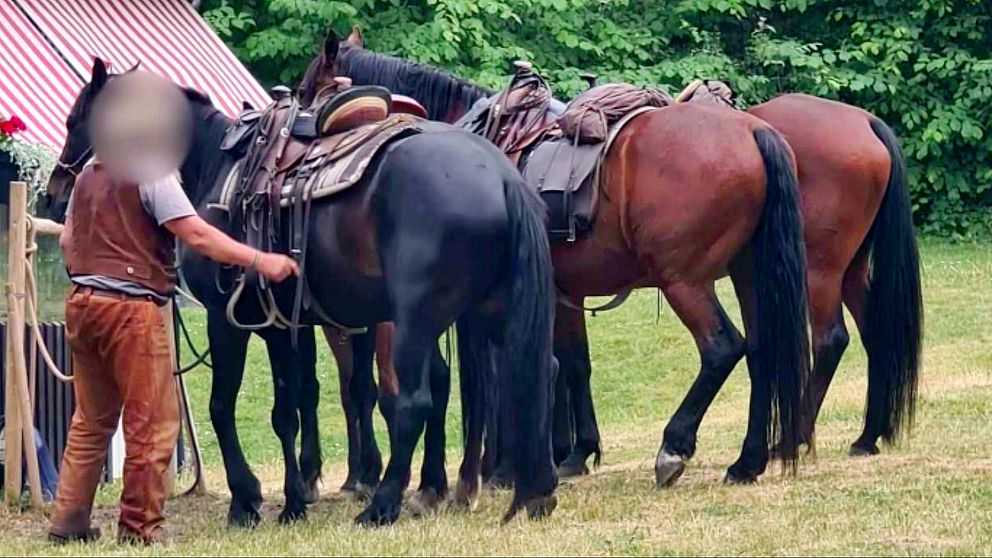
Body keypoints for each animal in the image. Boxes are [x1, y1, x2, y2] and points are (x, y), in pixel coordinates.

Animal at [44, 62, 560, 528]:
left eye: (73, 120)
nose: (53, 193)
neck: (215, 164)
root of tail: (502, 176)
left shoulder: (228, 318)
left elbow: (223, 406)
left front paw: (246, 501)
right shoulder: (279, 325)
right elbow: (288, 410)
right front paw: (293, 501)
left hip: (417, 322)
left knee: (416, 400)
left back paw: (383, 505)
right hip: (488, 312)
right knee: (529, 370)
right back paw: (509, 489)